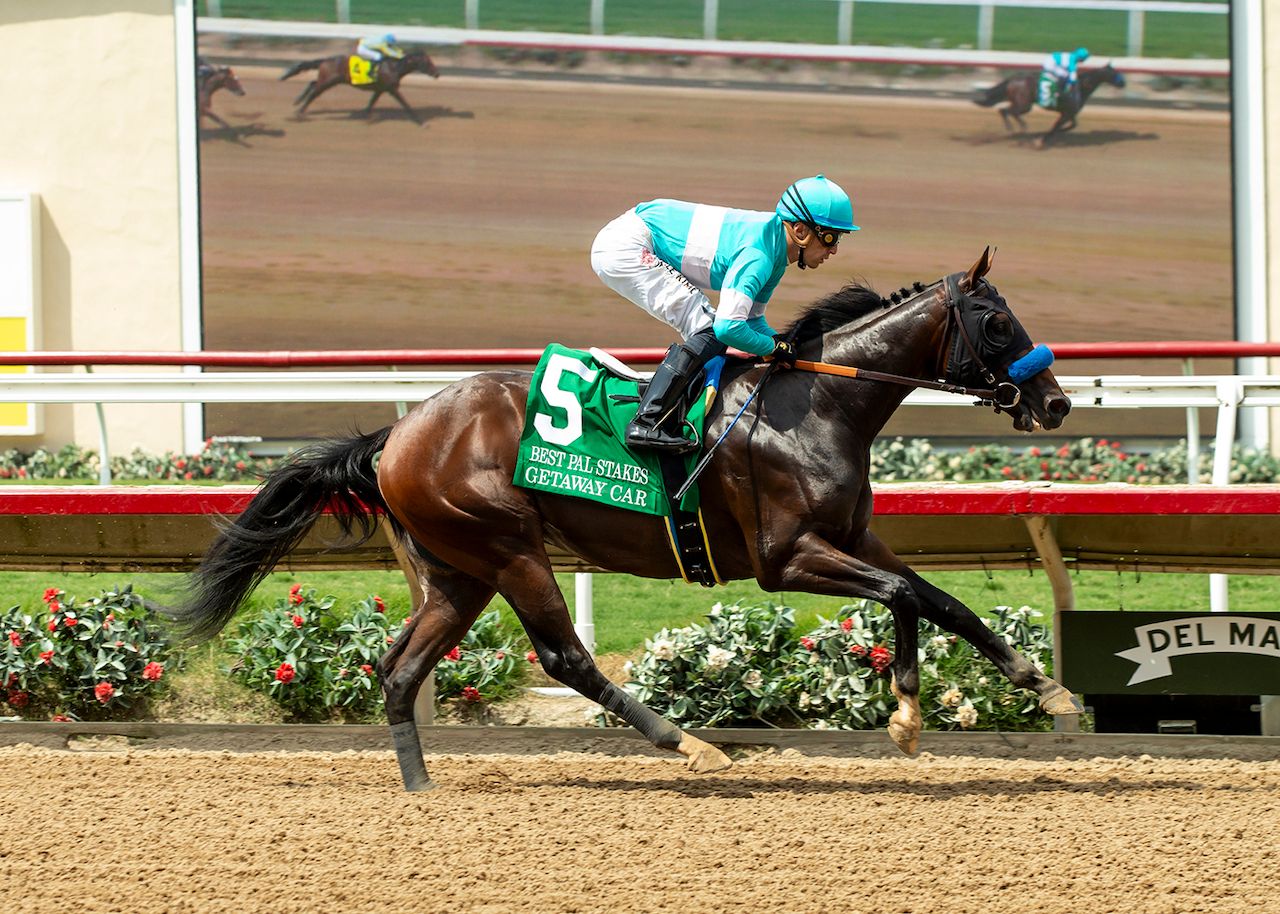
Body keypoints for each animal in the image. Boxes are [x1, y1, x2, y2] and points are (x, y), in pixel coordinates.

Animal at [165, 248, 1080, 792]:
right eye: (997, 322)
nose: (1056, 403)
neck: (819, 404)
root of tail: (398, 433)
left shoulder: (855, 537)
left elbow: (938, 600)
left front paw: (1038, 689)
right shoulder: (787, 557)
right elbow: (903, 595)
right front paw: (912, 714)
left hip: (457, 571)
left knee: (399, 667)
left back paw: (422, 787)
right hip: (509, 547)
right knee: (564, 656)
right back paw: (692, 744)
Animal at [280, 51, 440, 123]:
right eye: (427, 62)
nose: (437, 73)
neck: (395, 67)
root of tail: (325, 60)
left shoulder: (380, 89)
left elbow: (372, 102)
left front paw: (366, 116)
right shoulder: (392, 89)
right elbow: (406, 104)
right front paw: (421, 122)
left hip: (328, 80)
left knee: (313, 83)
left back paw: (298, 101)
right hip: (328, 81)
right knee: (314, 92)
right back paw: (299, 113)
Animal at [974, 63, 1126, 147]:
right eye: (1114, 73)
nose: (1123, 83)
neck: (1081, 86)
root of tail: (1012, 79)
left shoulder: (1069, 113)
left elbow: (1070, 126)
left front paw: (1052, 135)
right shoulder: (1066, 113)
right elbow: (1055, 128)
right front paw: (1040, 141)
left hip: (1020, 103)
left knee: (1003, 110)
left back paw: (1014, 129)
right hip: (1024, 105)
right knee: (1009, 112)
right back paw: (1018, 129)